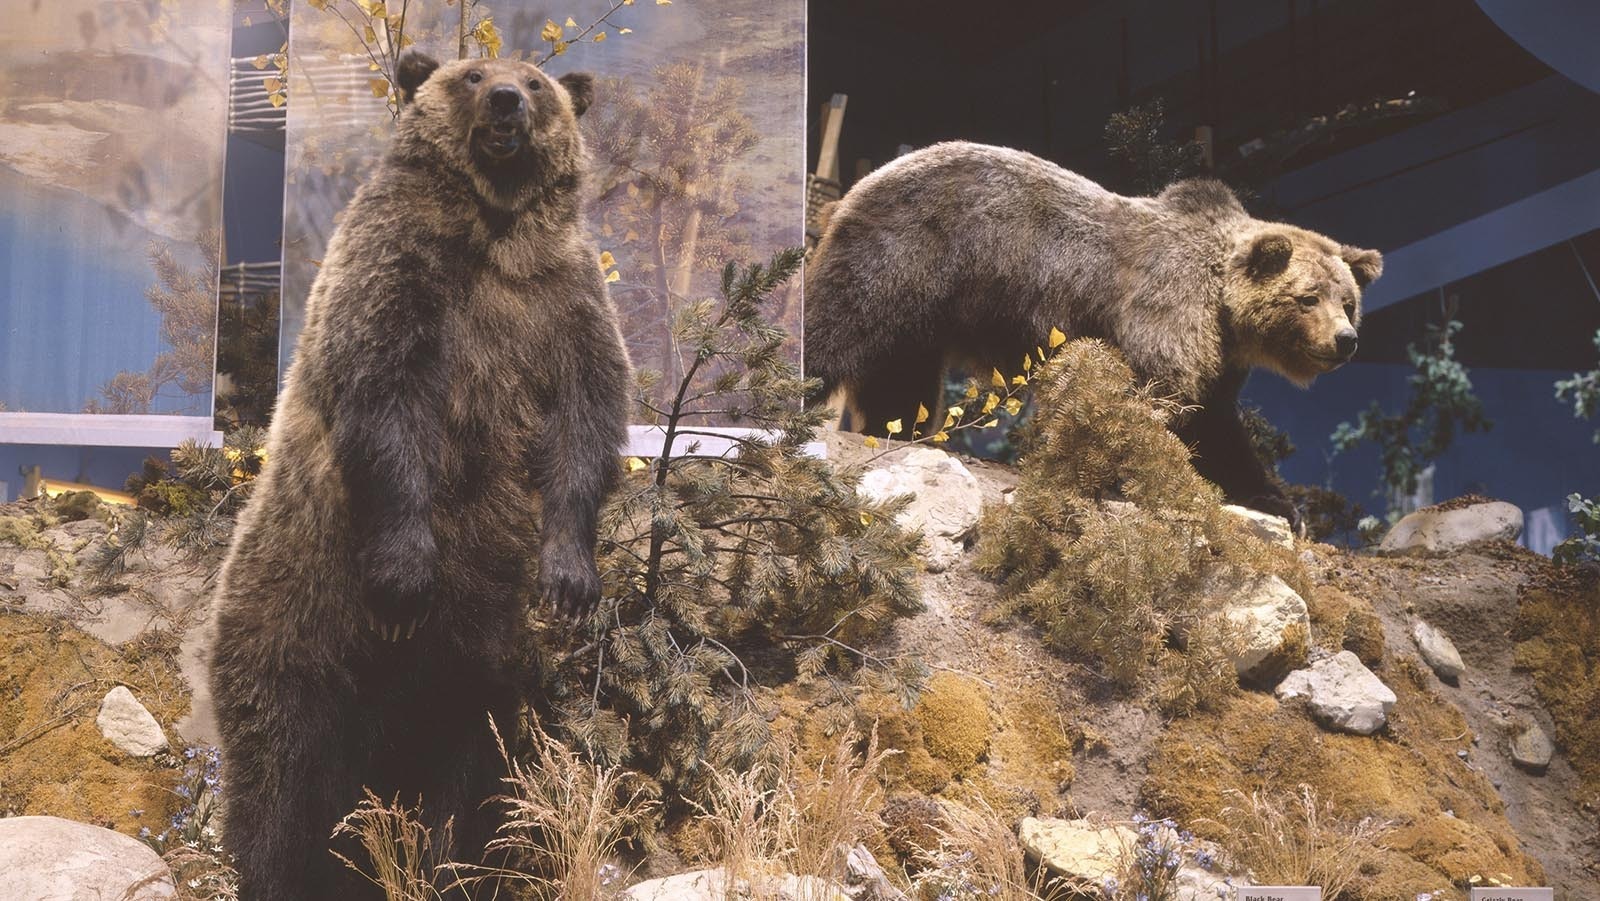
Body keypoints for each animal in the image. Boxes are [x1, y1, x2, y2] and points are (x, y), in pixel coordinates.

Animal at [211, 51, 630, 901]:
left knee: (466, 780)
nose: (505, 102)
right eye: (472, 74)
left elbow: (587, 420)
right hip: (294, 622)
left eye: (537, 83)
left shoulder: (565, 305)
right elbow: (389, 405)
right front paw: (406, 575)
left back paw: (447, 867)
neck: (496, 234)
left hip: (471, 674)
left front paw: (570, 577)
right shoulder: (401, 279)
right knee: (278, 780)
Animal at [806, 140, 1382, 521]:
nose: (1345, 341)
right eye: (1308, 298)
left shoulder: (1219, 360)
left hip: (924, 313)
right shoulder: (1163, 309)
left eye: (1348, 302)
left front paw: (1276, 501)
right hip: (909, 253)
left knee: (899, 373)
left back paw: (896, 429)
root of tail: (860, 183)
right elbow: (1157, 398)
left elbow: (1215, 423)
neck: (1223, 311)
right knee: (838, 323)